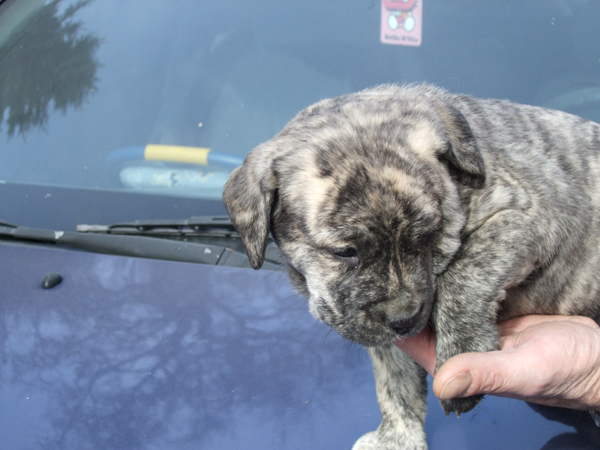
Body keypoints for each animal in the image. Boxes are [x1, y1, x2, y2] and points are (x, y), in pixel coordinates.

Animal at [223, 85, 600, 450]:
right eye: (345, 252)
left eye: (429, 236)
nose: (404, 320)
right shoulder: (382, 339)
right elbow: (394, 384)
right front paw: (397, 438)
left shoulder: (534, 212)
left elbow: (465, 274)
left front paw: (463, 348)